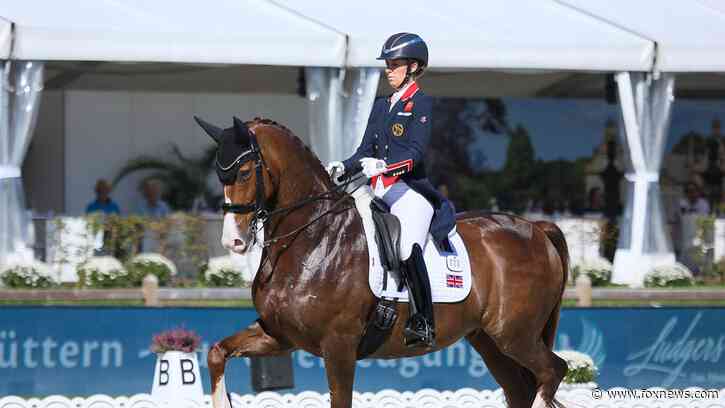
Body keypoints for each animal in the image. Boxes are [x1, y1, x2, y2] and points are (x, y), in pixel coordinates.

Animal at [196, 116, 570, 408]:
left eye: (245, 172)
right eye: (218, 174)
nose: (233, 241)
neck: (314, 239)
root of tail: (536, 228)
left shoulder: (339, 346)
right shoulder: (279, 334)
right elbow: (216, 353)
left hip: (515, 334)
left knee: (554, 370)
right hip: (489, 341)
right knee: (521, 389)